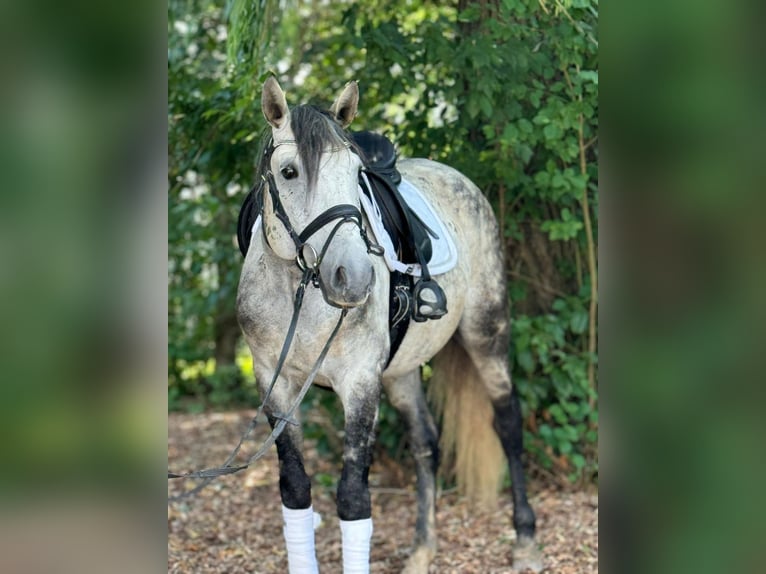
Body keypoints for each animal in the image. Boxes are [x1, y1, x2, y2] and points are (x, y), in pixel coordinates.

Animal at [237, 77, 544, 574]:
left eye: (356, 174)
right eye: (288, 172)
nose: (354, 277)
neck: (298, 290)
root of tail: (456, 176)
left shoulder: (360, 381)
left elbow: (353, 496)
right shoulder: (273, 381)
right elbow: (295, 487)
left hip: (486, 331)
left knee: (509, 423)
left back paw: (526, 540)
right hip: (401, 372)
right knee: (426, 445)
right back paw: (423, 549)